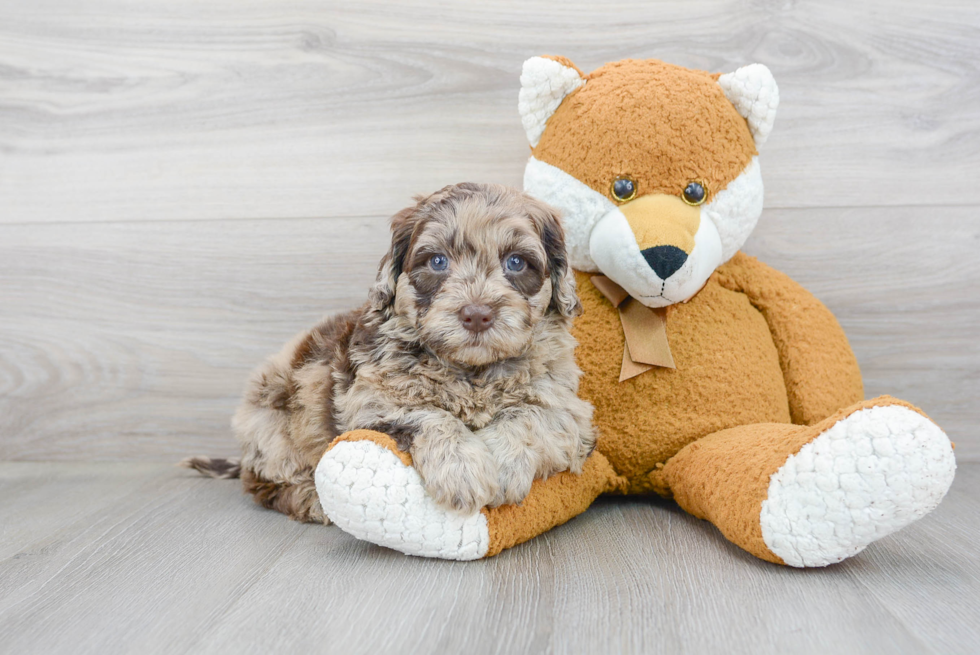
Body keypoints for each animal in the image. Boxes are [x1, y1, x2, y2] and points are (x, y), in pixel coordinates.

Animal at [185, 183, 596, 524]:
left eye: (516, 262)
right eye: (437, 261)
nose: (477, 314)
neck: (470, 372)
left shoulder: (570, 409)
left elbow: (533, 415)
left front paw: (505, 464)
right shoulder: (369, 404)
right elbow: (426, 415)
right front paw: (462, 469)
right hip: (271, 425)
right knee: (262, 483)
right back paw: (311, 500)